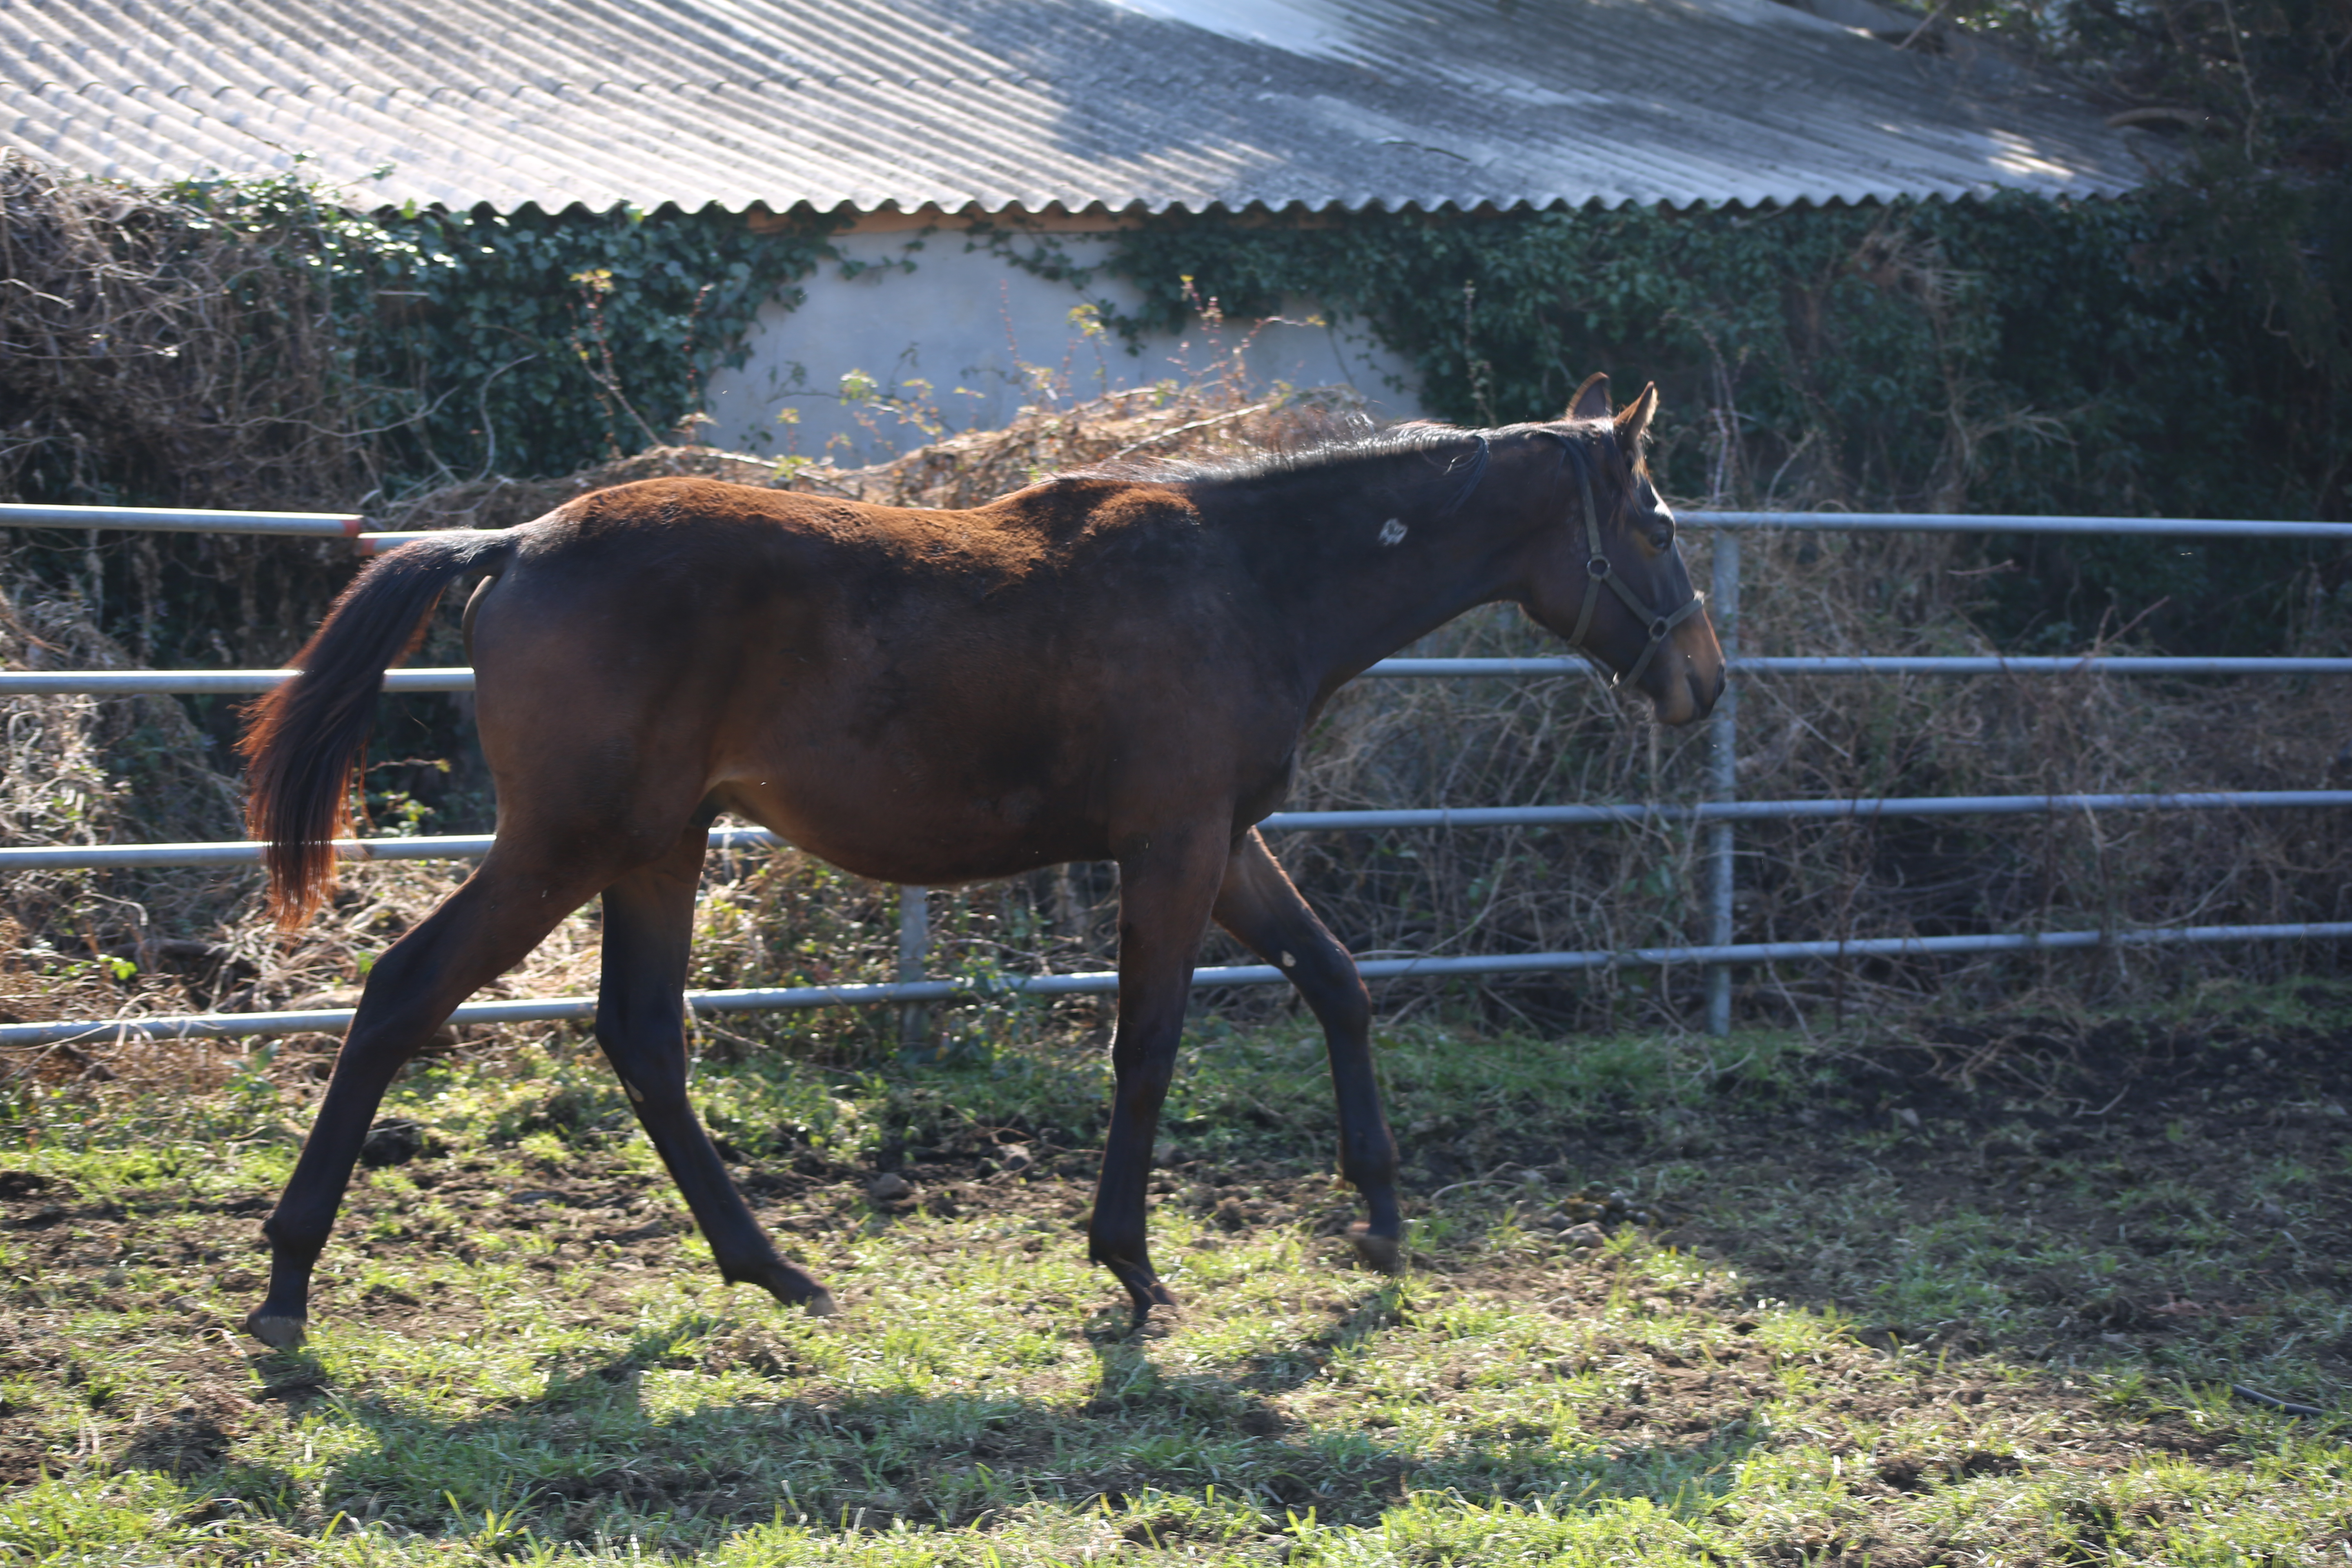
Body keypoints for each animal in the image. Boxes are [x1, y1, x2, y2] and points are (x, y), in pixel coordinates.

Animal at [238, 371, 1722, 1354]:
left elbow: (1336, 979)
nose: (1704, 681)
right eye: (1657, 526)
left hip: (658, 846)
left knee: (642, 1038)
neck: (1250, 577)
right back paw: (287, 1283)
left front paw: (1380, 1216)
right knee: (404, 993)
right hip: (568, 845)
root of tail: (516, 544)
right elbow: (1148, 1044)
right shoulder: (1174, 848)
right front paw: (1130, 1267)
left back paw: (773, 1271)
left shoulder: (1224, 843)